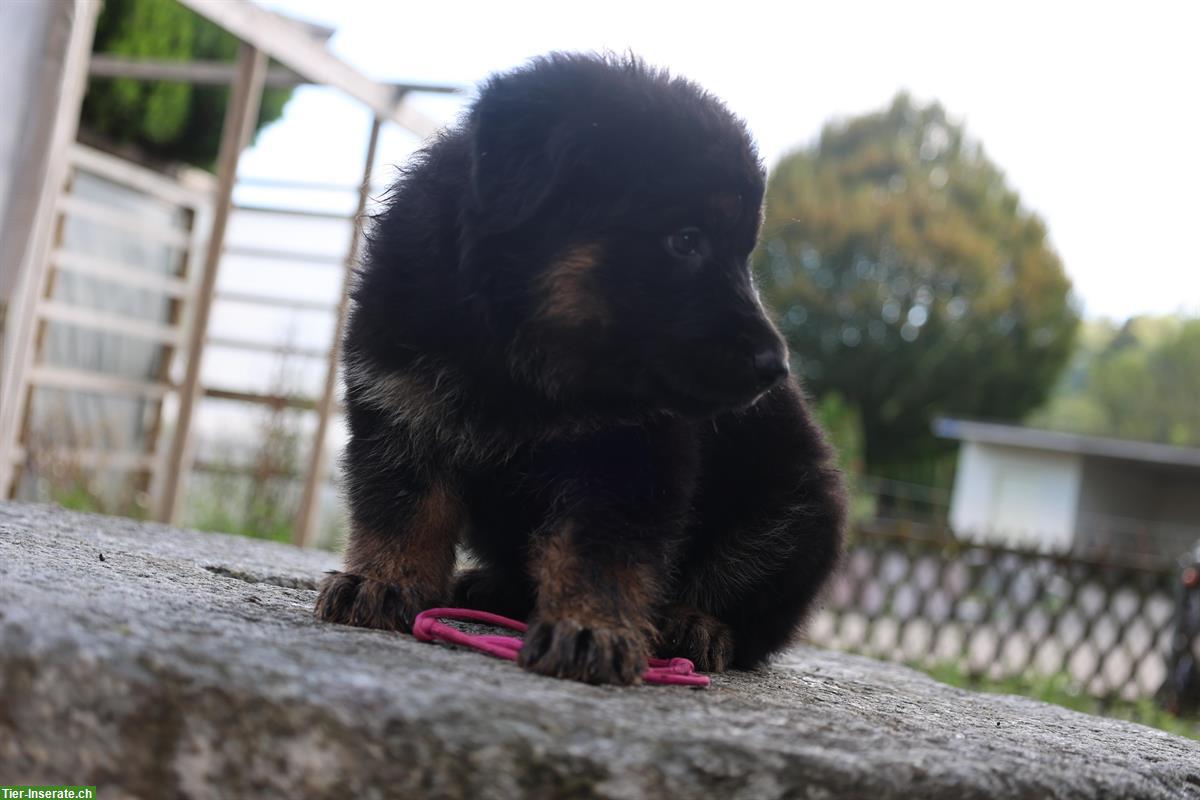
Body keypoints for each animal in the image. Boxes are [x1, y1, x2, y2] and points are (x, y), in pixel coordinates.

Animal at [319, 53, 844, 686]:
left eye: (743, 254)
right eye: (685, 240)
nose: (777, 367)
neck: (516, 361)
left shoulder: (630, 457)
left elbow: (599, 548)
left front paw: (591, 627)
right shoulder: (401, 409)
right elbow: (403, 510)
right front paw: (382, 581)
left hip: (793, 503)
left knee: (746, 594)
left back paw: (697, 623)